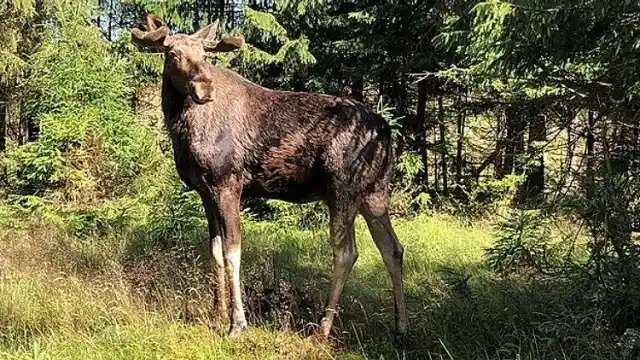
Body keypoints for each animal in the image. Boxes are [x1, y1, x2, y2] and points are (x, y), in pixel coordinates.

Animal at [131, 14, 410, 340]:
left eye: (205, 55)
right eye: (173, 54)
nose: (204, 89)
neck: (181, 127)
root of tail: (387, 132)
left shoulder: (228, 184)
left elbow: (232, 252)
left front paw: (237, 324)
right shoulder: (205, 191)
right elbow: (214, 251)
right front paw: (216, 314)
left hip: (343, 190)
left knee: (347, 252)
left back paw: (322, 329)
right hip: (374, 194)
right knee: (393, 248)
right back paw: (401, 326)